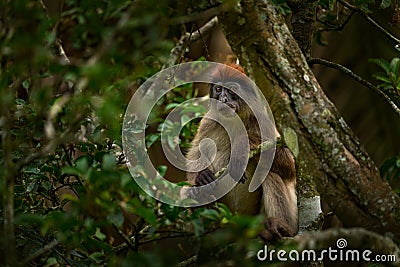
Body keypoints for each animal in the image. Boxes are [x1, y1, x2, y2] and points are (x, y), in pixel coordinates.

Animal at [184, 63, 296, 243]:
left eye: (231, 90)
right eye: (218, 89)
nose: (223, 99)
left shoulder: (262, 119)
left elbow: (291, 167)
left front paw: (242, 146)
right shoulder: (209, 121)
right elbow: (195, 153)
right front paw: (201, 176)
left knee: (270, 173)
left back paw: (280, 228)